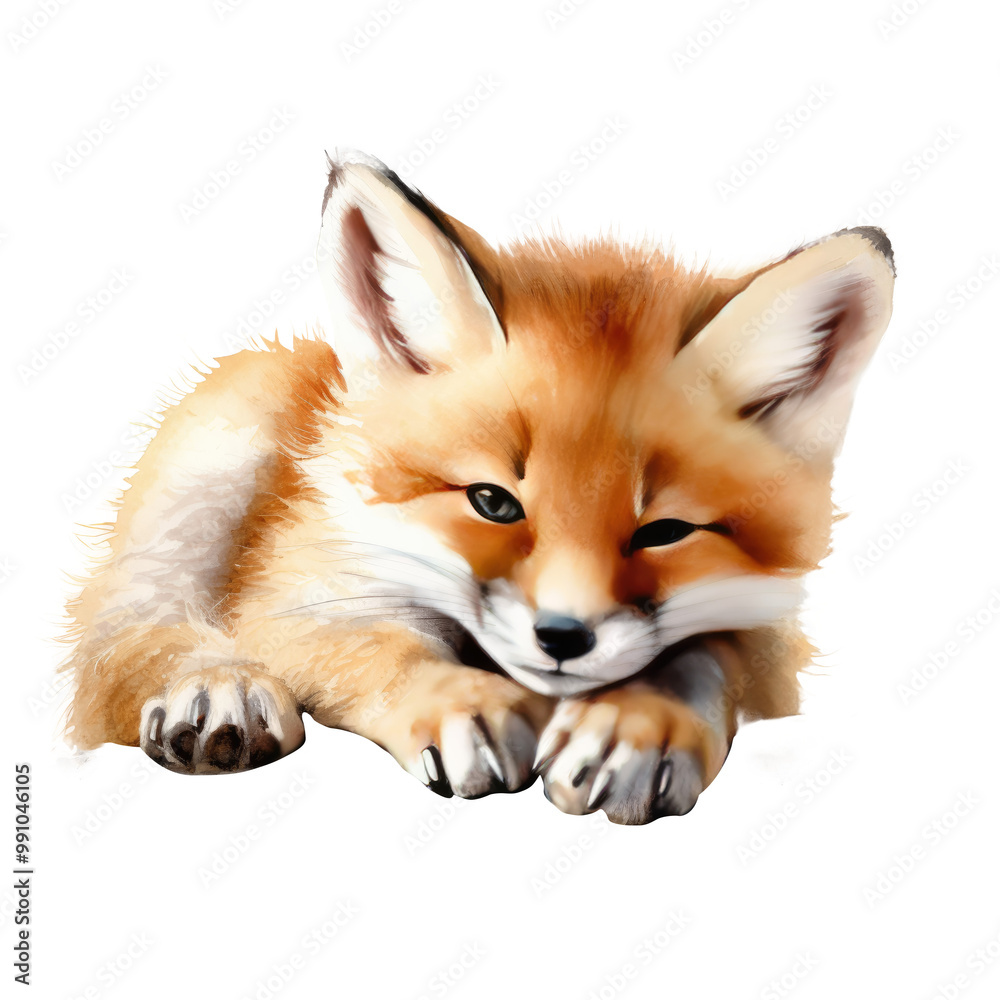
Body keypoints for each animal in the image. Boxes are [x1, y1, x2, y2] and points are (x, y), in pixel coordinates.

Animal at [62, 151, 894, 825]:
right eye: (493, 503)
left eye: (663, 532)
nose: (563, 637)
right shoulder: (300, 589)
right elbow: (379, 647)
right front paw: (455, 701)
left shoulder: (772, 635)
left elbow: (707, 656)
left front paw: (637, 723)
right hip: (216, 465)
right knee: (118, 646)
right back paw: (215, 690)